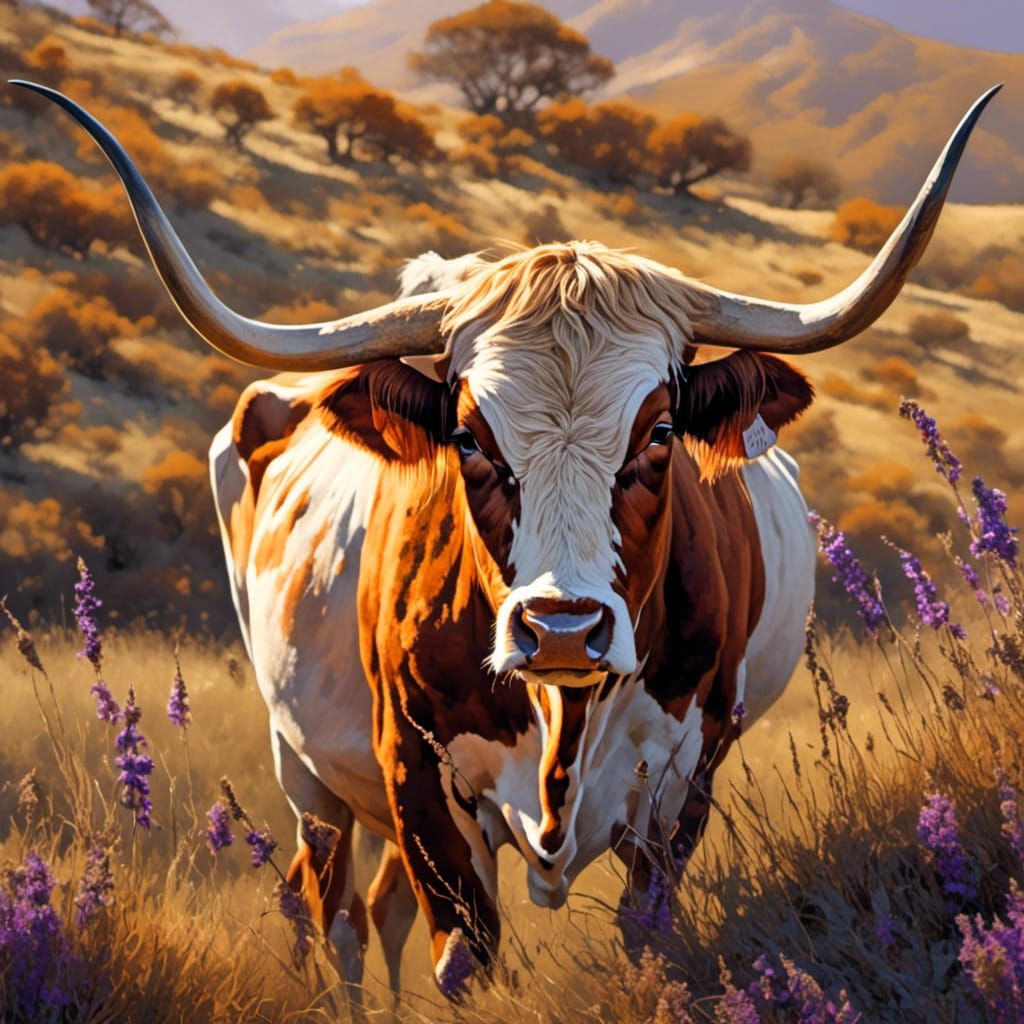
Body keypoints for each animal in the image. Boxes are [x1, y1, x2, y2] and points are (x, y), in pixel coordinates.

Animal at [17, 79, 998, 999]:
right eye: (467, 436)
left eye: (660, 431)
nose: (562, 628)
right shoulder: (415, 772)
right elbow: (464, 957)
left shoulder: (683, 782)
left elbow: (648, 935)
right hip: (307, 769)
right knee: (328, 913)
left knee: (375, 910)